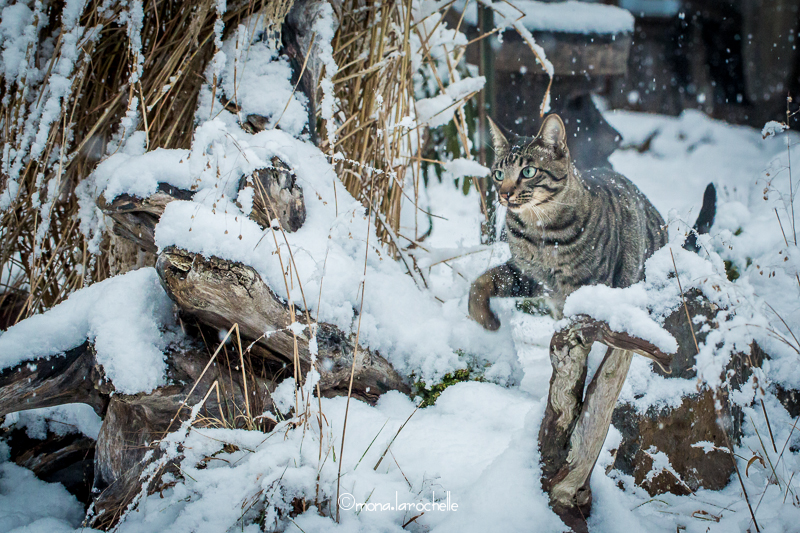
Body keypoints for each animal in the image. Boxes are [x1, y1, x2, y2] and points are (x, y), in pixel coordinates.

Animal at [468, 115, 668, 328]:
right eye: (498, 174)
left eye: (528, 171)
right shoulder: (527, 272)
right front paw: (484, 317)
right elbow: (483, 280)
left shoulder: (585, 286)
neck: (538, 230)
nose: (504, 194)